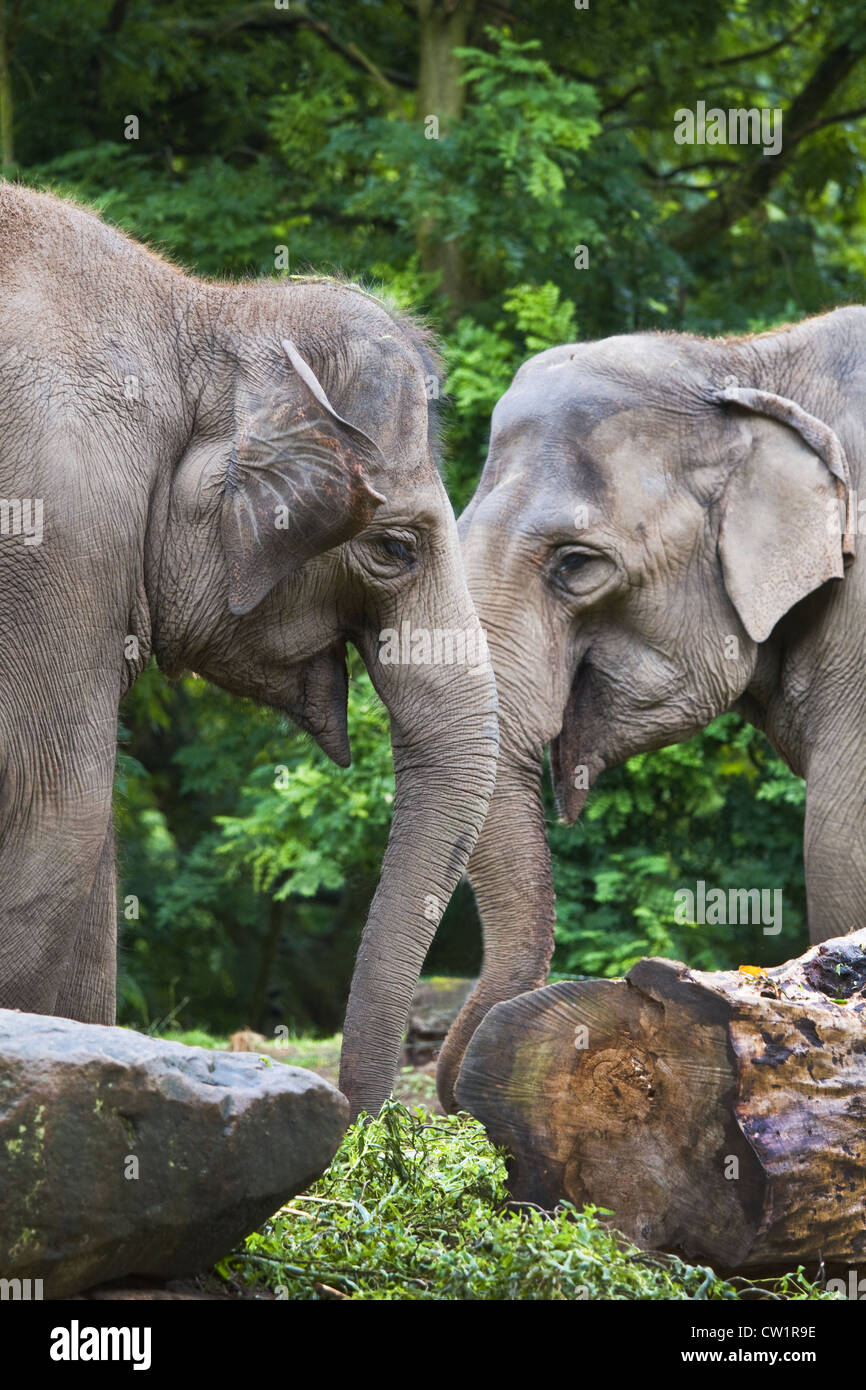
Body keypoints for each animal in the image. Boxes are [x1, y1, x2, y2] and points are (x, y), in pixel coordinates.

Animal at [0, 182, 497, 1117]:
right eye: (397, 548)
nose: (372, 1124)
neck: (199, 311)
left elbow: (90, 852)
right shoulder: (56, 527)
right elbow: (56, 810)